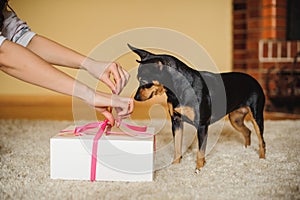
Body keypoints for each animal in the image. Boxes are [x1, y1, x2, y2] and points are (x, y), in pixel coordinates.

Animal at [130, 44, 266, 173]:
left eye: (144, 82)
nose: (135, 98)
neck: (179, 88)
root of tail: (254, 80)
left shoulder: (202, 125)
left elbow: (200, 151)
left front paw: (199, 169)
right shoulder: (177, 122)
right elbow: (177, 147)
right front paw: (175, 166)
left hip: (256, 117)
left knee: (261, 140)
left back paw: (262, 159)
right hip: (235, 119)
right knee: (247, 131)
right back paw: (246, 150)